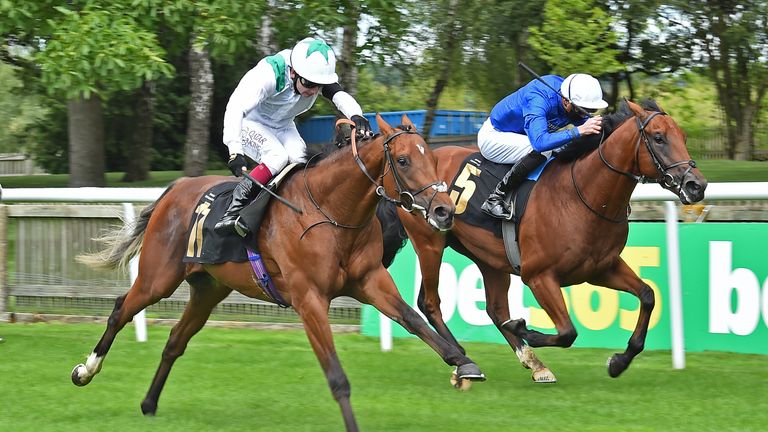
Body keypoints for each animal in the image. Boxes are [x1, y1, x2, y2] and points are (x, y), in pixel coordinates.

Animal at [70, 115, 480, 432]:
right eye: (404, 160)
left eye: (431, 157)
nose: (444, 211)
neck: (330, 211)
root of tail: (175, 188)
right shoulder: (309, 299)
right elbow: (337, 378)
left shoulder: (370, 281)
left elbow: (413, 319)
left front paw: (464, 365)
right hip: (159, 277)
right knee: (121, 309)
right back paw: (86, 371)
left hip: (208, 289)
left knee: (174, 341)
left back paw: (149, 403)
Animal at [378, 100, 708, 384]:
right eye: (658, 137)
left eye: (683, 136)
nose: (697, 185)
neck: (584, 195)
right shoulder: (539, 276)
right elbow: (567, 332)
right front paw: (525, 328)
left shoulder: (601, 268)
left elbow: (648, 295)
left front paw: (619, 361)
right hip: (430, 242)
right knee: (429, 302)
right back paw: (463, 359)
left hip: (489, 258)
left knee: (496, 309)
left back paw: (533, 363)